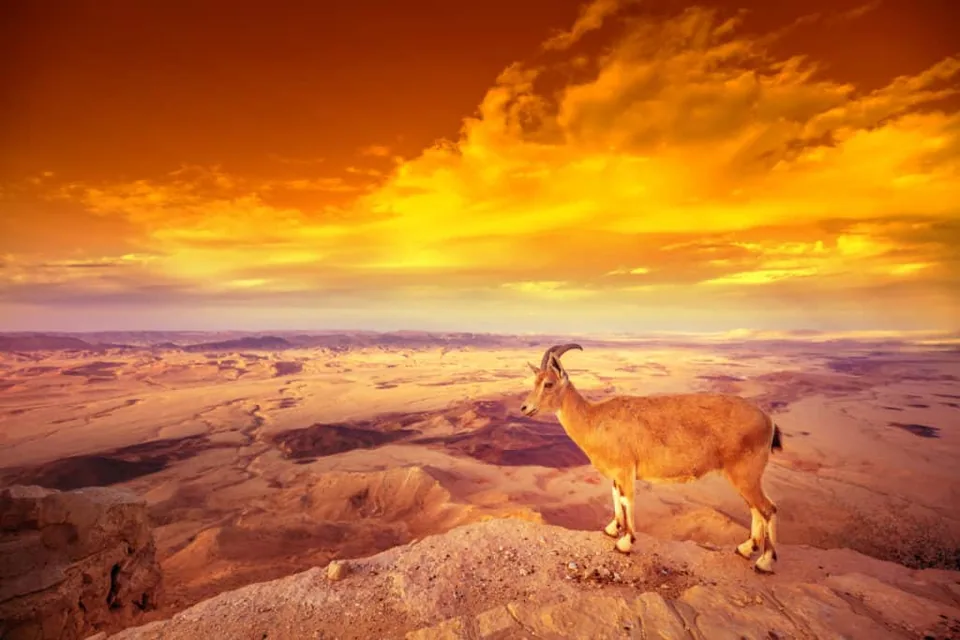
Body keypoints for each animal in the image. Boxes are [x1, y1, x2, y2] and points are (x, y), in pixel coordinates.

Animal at [519, 343, 784, 573]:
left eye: (548, 383)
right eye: (535, 381)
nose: (524, 408)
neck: (595, 420)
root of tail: (768, 421)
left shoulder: (625, 469)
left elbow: (627, 500)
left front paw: (625, 543)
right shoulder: (617, 473)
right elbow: (616, 496)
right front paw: (612, 530)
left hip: (745, 472)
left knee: (767, 508)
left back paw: (764, 562)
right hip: (745, 475)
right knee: (755, 508)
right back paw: (745, 549)